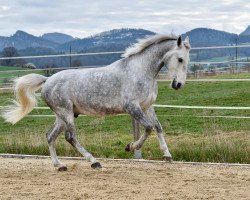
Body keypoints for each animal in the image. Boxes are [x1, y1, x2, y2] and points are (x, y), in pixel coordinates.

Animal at [1, 34, 190, 170]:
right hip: (66, 113)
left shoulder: (147, 106)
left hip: (62, 116)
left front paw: (167, 156)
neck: (140, 71)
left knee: (50, 136)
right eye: (180, 59)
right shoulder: (132, 107)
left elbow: (158, 127)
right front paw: (130, 146)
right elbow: (148, 128)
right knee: (70, 137)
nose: (178, 85)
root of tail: (47, 80)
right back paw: (94, 162)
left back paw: (60, 165)